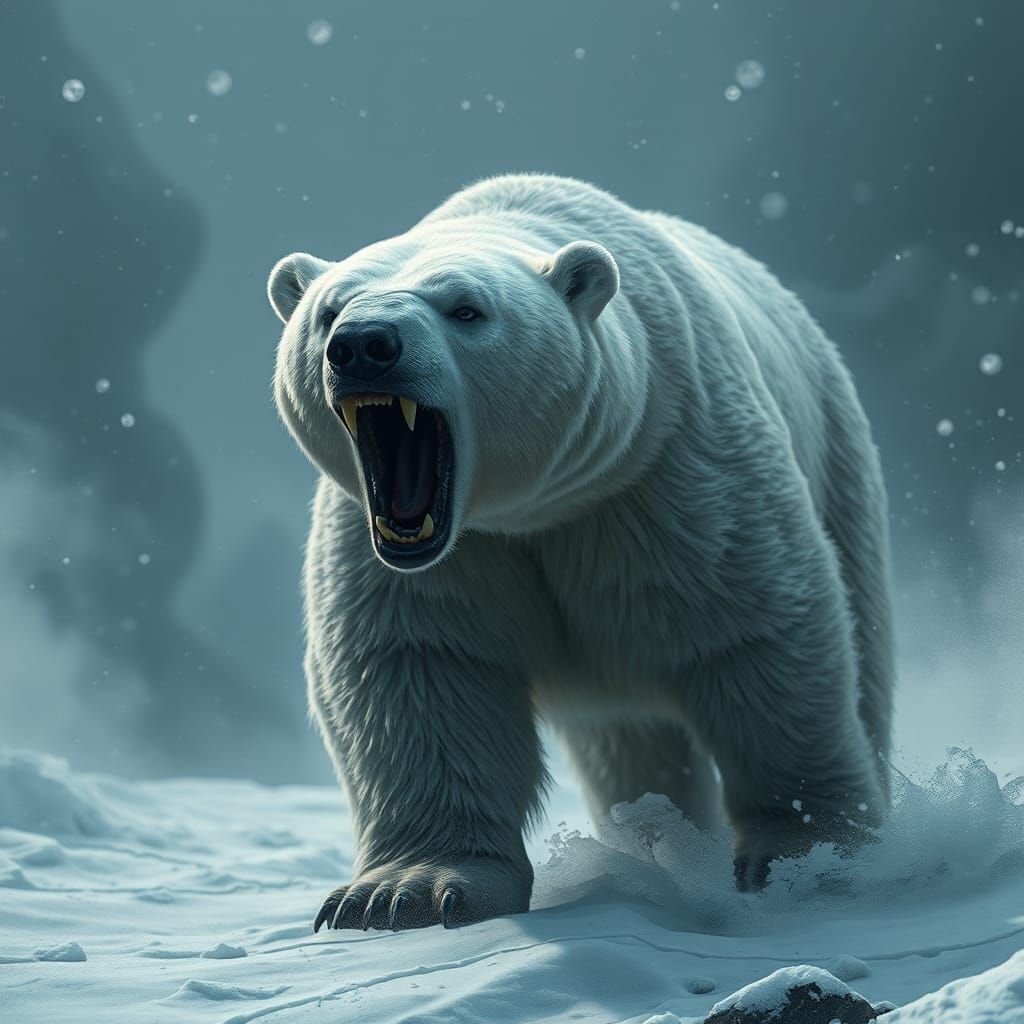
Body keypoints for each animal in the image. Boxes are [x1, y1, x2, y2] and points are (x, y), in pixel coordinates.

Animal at [267, 174, 894, 932]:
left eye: (466, 309)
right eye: (328, 311)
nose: (364, 344)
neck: (533, 506)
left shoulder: (671, 471)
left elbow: (758, 634)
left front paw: (808, 859)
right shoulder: (415, 550)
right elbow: (418, 666)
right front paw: (402, 893)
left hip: (837, 456)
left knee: (862, 651)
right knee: (630, 742)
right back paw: (657, 841)